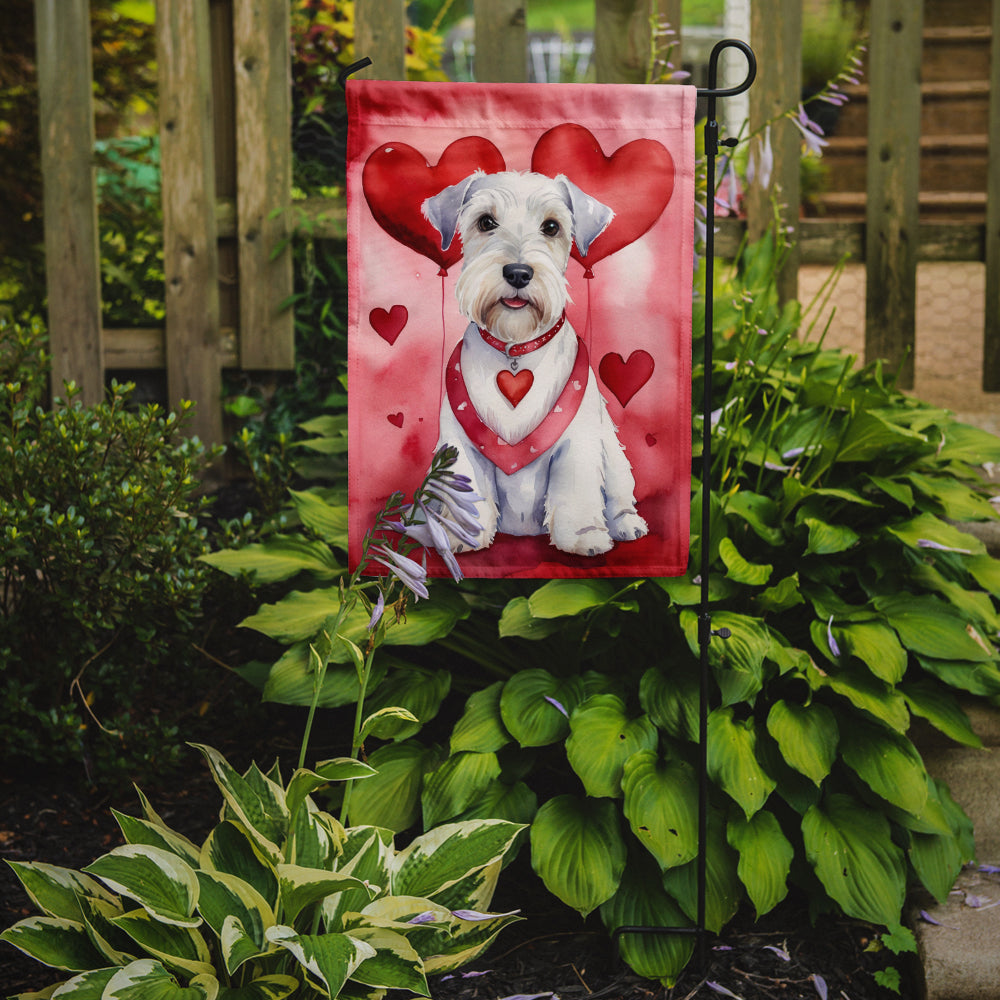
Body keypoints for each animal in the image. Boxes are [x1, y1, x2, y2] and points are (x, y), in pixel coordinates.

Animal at [422, 174, 648, 564]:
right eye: (486, 221)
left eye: (552, 227)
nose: (518, 272)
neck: (516, 349)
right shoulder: (462, 444)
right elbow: (469, 493)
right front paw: (464, 538)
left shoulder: (577, 444)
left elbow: (577, 493)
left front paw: (584, 539)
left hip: (615, 457)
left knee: (620, 497)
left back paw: (627, 525)